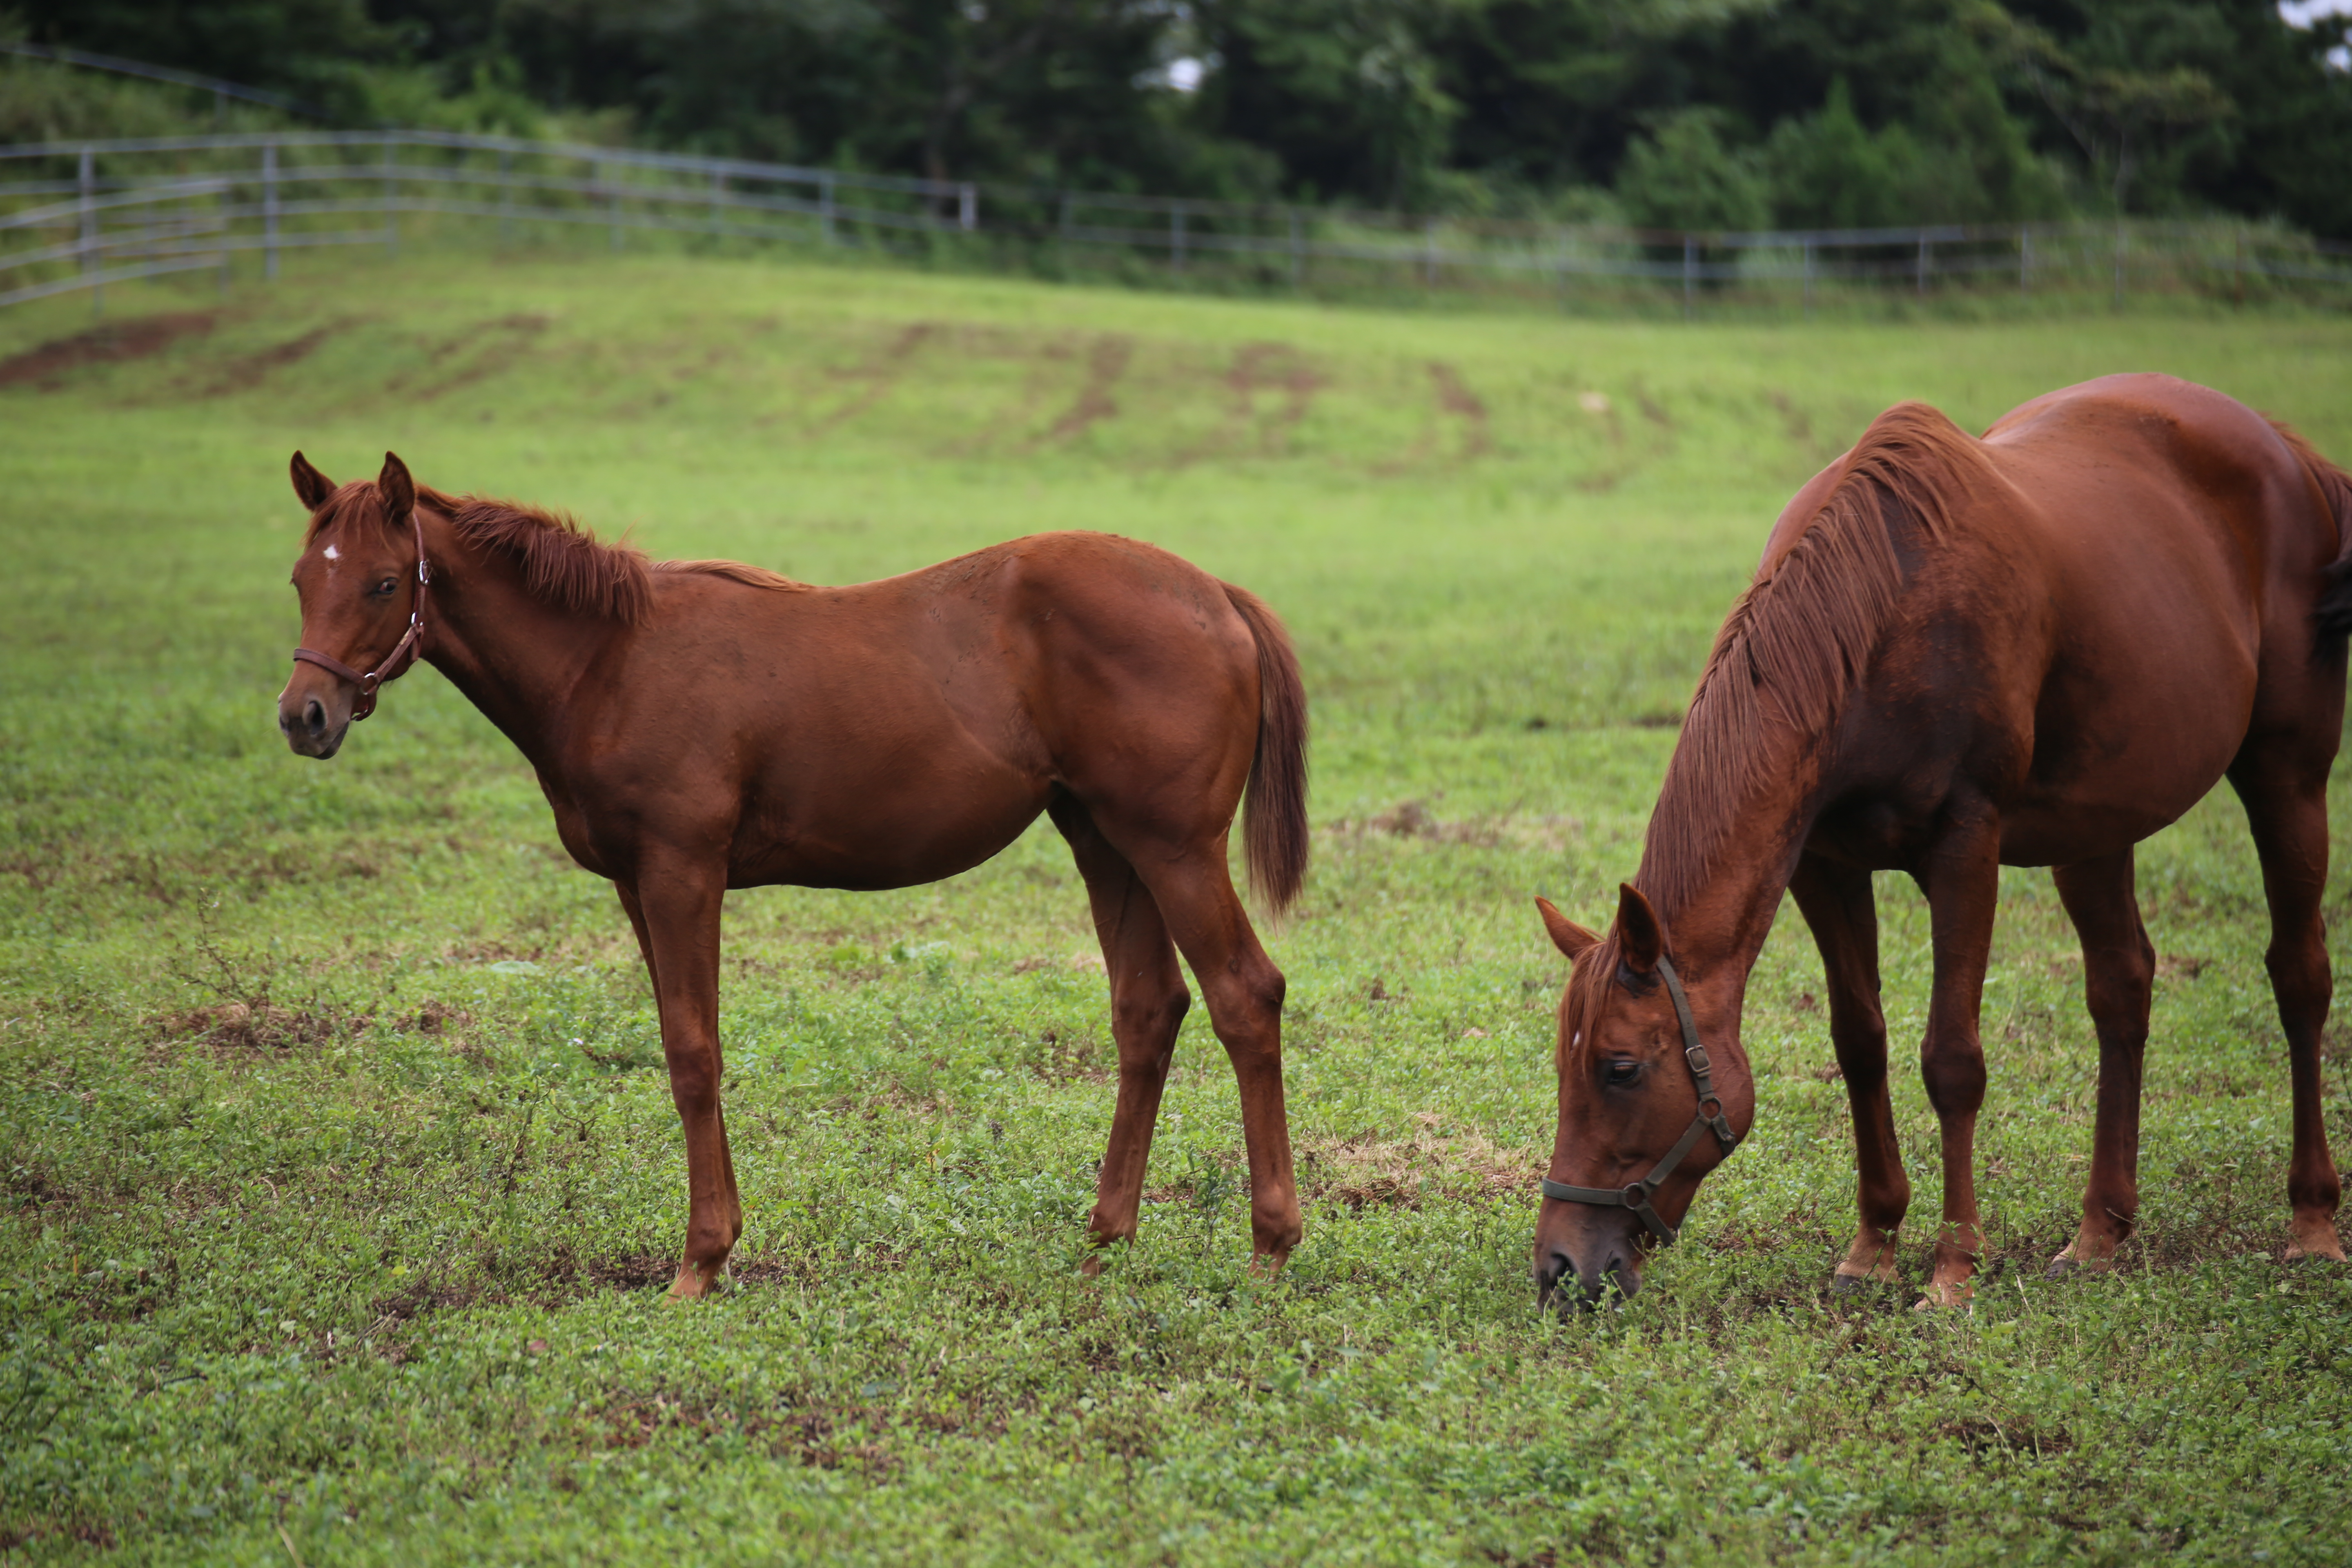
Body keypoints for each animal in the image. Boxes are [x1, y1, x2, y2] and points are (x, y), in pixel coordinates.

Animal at [284, 451, 1317, 1297]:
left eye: (383, 582)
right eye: (299, 578)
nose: (304, 716)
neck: (608, 660)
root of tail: (1215, 594)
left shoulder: (682, 872)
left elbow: (693, 1054)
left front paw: (700, 1261)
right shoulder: (634, 885)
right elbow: (687, 1045)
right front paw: (719, 1243)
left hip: (1173, 847)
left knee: (1243, 994)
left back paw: (1269, 1245)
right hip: (1106, 841)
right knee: (1148, 1009)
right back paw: (1106, 1239)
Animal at [1524, 376, 2352, 1316]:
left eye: (1621, 1068)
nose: (1561, 1267)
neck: (1874, 615)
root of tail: (2287, 452)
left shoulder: (1965, 850)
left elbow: (1952, 1061)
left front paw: (1954, 1267)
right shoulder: (1826, 865)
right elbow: (1860, 1044)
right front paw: (1873, 1247)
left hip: (2289, 775)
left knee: (2299, 976)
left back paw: (2312, 1223)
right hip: (2097, 825)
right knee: (2122, 986)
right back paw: (2099, 1233)